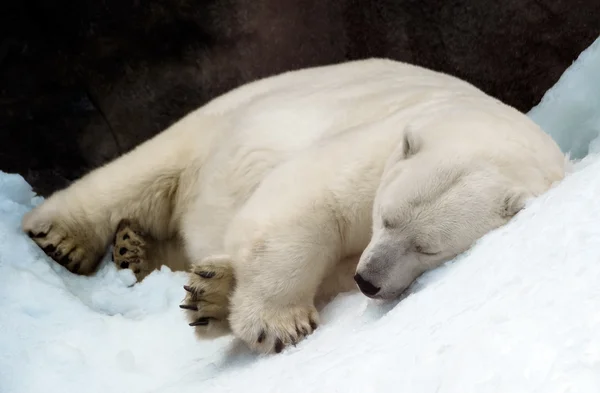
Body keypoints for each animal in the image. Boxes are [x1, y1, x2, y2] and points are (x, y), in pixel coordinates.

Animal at [21, 57, 564, 352]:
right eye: (385, 218)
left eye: (429, 249)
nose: (370, 282)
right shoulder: (378, 143)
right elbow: (312, 198)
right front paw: (277, 324)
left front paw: (214, 297)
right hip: (227, 119)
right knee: (144, 170)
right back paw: (63, 239)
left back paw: (152, 258)